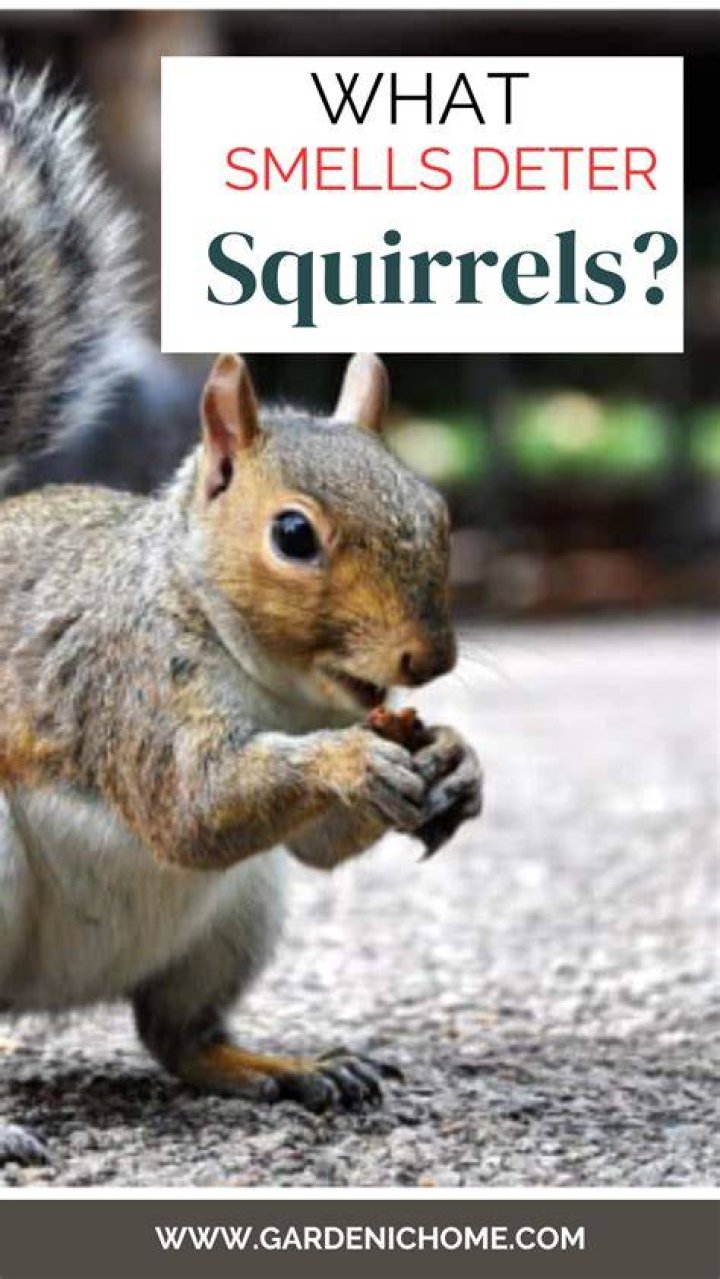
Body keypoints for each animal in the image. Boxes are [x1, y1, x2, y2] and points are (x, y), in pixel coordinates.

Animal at [0, 69, 482, 1166]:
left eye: (437, 508)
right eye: (294, 534)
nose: (428, 660)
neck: (275, 687)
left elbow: (312, 842)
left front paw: (456, 762)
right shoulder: (124, 675)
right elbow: (189, 806)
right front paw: (350, 760)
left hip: (238, 915)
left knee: (177, 1037)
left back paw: (285, 1066)